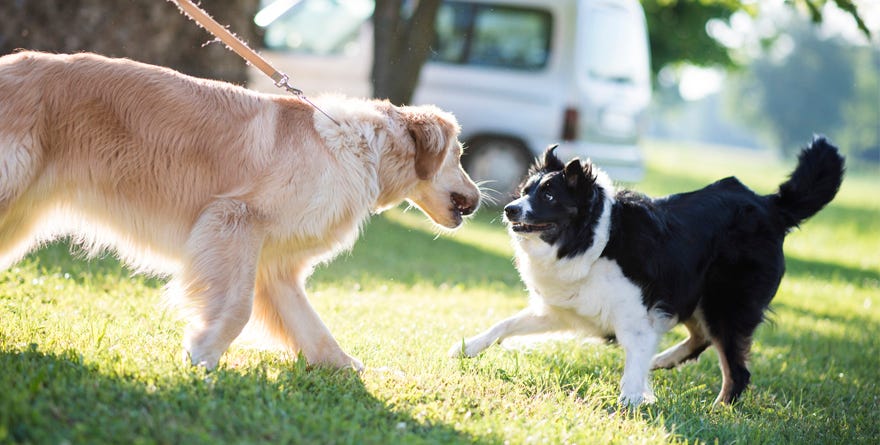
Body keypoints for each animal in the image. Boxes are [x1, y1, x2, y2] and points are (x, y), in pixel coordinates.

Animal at [454, 138, 844, 406]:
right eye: (526, 190)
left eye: (549, 196)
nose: (509, 209)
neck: (596, 240)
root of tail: (769, 205)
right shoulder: (565, 310)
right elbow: (505, 324)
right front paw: (466, 347)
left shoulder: (637, 319)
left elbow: (632, 368)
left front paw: (630, 403)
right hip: (692, 297)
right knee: (701, 339)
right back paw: (663, 361)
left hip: (724, 303)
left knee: (736, 369)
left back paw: (719, 409)